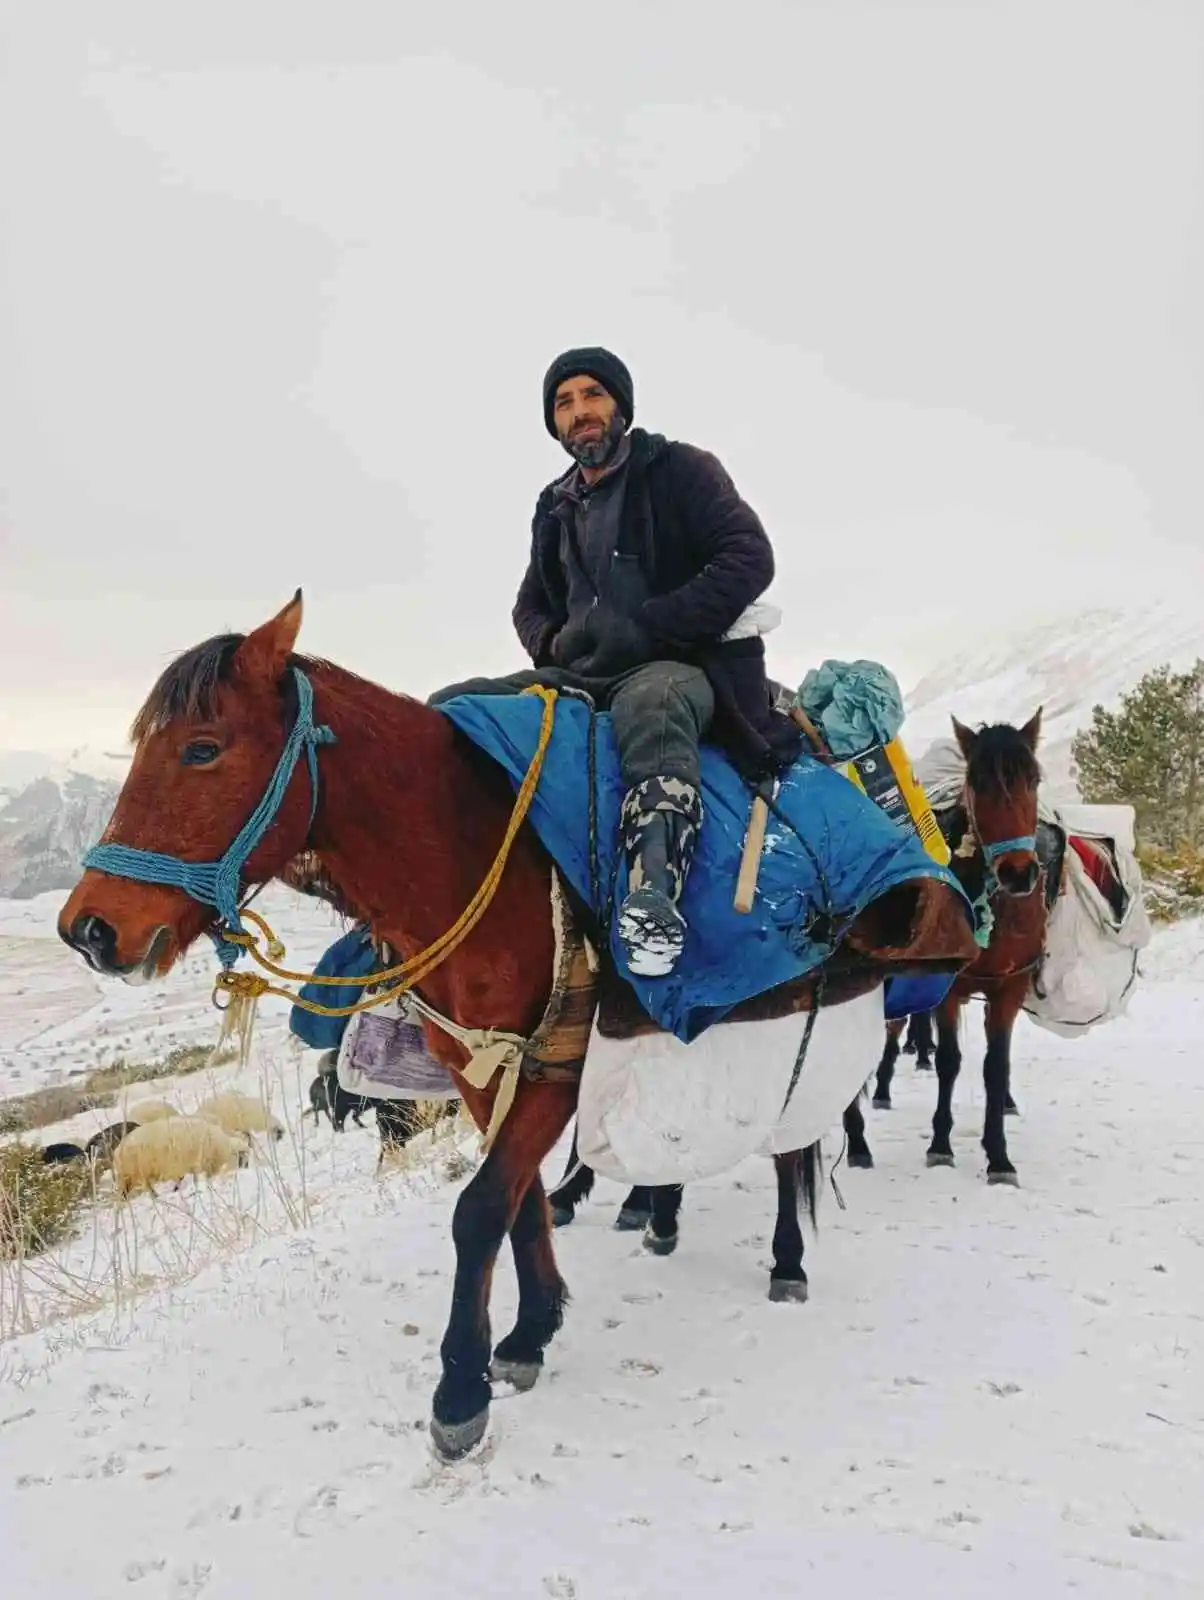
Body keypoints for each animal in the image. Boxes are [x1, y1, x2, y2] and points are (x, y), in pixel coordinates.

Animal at [112, 1113, 248, 1203]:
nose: (246, 1167)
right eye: (242, 1155)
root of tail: (118, 1151)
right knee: (138, 1188)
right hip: (136, 1173)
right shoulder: (198, 1163)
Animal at [838, 720, 1043, 1184]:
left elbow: (995, 1067)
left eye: (1034, 779)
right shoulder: (947, 989)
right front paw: (940, 1144)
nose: (1018, 873)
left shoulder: (1009, 988)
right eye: (977, 783)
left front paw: (998, 1156)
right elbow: (950, 1060)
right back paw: (857, 1142)